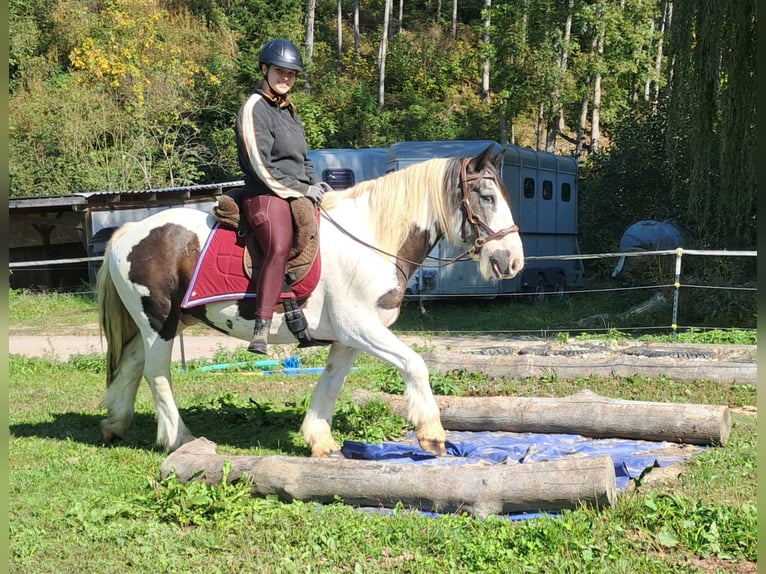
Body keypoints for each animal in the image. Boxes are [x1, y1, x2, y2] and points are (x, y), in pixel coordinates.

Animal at [96, 147, 524, 460]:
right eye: (487, 196)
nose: (513, 262)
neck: (371, 239)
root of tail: (130, 230)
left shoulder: (349, 339)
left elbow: (331, 384)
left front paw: (320, 439)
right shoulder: (360, 328)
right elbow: (415, 364)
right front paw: (432, 434)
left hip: (166, 322)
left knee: (131, 364)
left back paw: (115, 424)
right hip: (159, 322)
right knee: (157, 373)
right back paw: (179, 439)